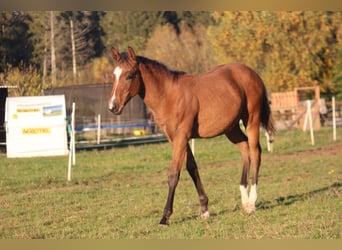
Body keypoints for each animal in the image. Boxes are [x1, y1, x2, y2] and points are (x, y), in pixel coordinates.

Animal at [109, 46, 276, 225]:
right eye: (114, 75)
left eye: (129, 75)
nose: (113, 106)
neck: (168, 96)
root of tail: (251, 73)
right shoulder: (176, 139)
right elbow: (192, 168)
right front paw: (204, 210)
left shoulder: (181, 138)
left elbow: (173, 175)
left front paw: (165, 217)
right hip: (231, 128)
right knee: (245, 148)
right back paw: (244, 200)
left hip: (251, 120)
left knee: (255, 152)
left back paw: (252, 202)